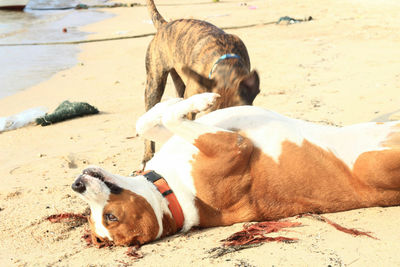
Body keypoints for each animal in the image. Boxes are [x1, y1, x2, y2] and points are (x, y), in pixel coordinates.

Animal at [72, 93, 400, 247]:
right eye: (109, 217)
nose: (77, 185)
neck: (171, 190)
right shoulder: (234, 146)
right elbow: (171, 117)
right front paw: (201, 99)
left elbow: (146, 122)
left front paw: (175, 100)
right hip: (375, 163)